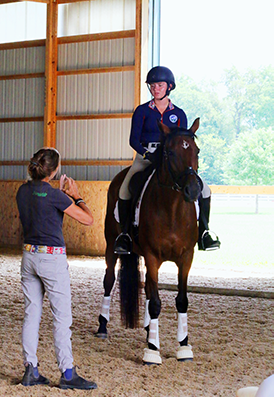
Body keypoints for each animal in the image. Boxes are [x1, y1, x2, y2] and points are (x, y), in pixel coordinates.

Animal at [95, 116, 202, 364]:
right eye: (170, 153)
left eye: (197, 151)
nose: (193, 190)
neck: (172, 209)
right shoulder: (153, 256)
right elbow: (155, 302)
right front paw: (153, 351)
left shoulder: (186, 257)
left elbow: (181, 300)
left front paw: (184, 346)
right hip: (111, 245)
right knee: (109, 280)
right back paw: (103, 327)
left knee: (147, 287)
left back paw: (147, 330)